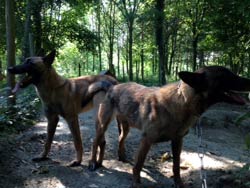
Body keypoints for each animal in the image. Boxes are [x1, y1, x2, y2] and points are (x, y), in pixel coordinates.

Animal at [88, 66, 250, 187]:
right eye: (225, 76)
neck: (182, 101)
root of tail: (113, 86)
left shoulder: (177, 141)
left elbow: (176, 166)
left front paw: (179, 184)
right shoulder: (146, 140)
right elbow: (138, 165)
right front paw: (136, 183)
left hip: (126, 126)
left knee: (121, 139)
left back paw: (121, 156)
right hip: (103, 124)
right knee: (96, 142)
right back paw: (92, 163)